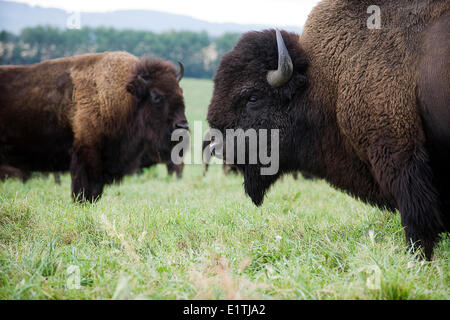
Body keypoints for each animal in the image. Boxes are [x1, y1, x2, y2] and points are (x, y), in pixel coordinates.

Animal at [0, 52, 188, 202]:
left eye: (180, 93)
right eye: (156, 96)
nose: (182, 127)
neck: (125, 98)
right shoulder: (87, 156)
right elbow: (85, 190)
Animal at [208, 0, 450, 260]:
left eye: (253, 98)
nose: (217, 146)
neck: (324, 85)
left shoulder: (398, 154)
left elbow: (416, 216)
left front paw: (419, 256)